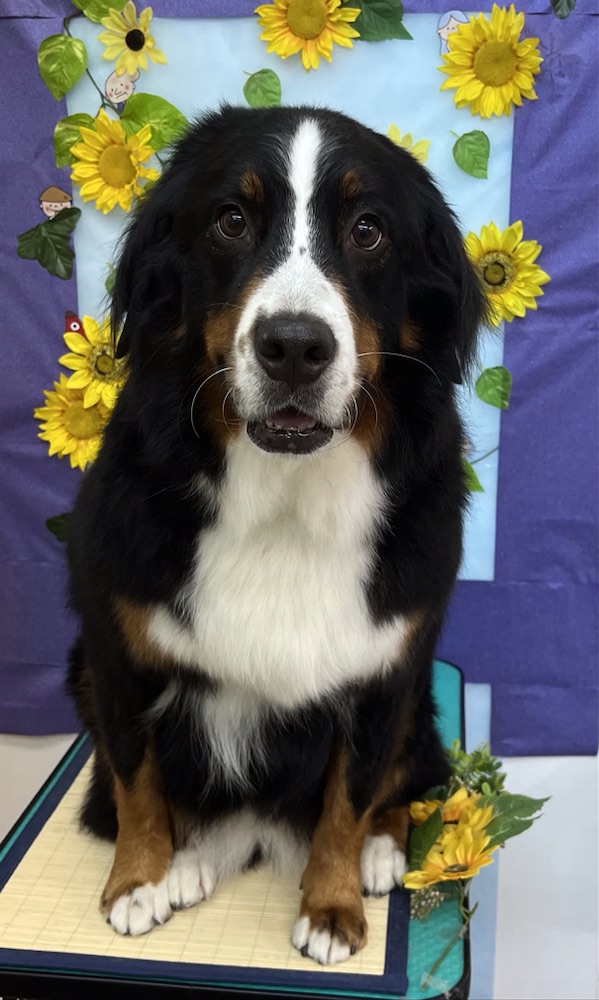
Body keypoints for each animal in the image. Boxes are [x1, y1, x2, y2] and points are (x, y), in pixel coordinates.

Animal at [67, 105, 486, 965]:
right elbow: (134, 776)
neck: (285, 502)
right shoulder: (115, 648)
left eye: (367, 230)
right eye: (231, 220)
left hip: (417, 703)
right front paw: (138, 879)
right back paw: (189, 858)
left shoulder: (383, 672)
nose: (294, 345)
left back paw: (379, 854)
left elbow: (349, 797)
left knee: (401, 781)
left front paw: (331, 905)